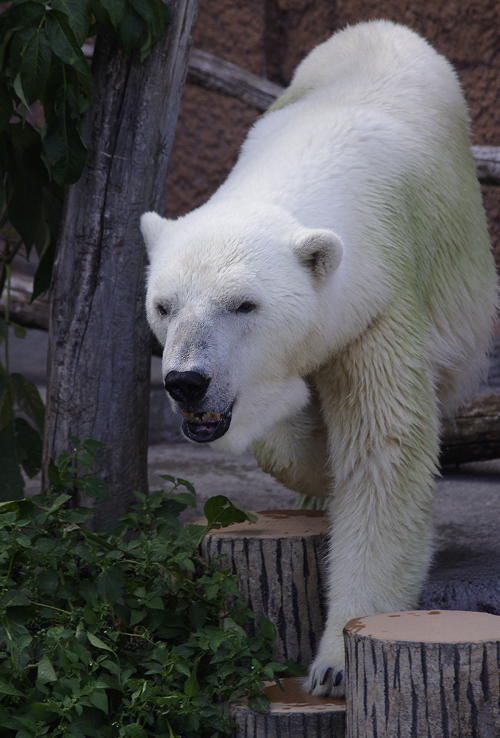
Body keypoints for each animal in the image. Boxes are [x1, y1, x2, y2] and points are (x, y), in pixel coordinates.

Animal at [140, 20, 496, 692]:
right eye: (163, 305)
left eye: (243, 305)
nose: (186, 382)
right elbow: (286, 433)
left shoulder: (378, 301)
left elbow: (383, 452)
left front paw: (332, 665)